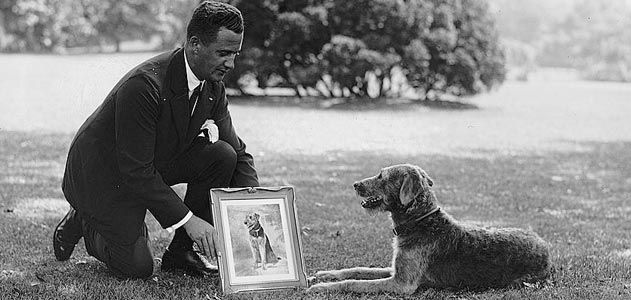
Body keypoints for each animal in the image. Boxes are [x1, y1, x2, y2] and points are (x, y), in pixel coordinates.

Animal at [308, 163, 552, 294]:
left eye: (381, 176)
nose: (355, 185)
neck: (420, 222)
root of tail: (545, 246)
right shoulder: (396, 270)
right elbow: (358, 270)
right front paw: (323, 275)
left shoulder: (401, 283)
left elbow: (354, 282)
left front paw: (320, 288)